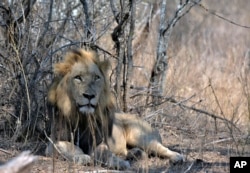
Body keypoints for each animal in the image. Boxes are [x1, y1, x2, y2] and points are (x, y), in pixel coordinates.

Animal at [47, 48, 184, 169]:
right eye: (78, 77)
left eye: (96, 77)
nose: (90, 96)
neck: (81, 117)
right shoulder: (51, 142)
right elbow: (67, 146)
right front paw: (82, 157)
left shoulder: (100, 141)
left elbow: (104, 152)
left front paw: (120, 163)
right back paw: (136, 154)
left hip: (141, 137)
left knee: (162, 148)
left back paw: (177, 158)